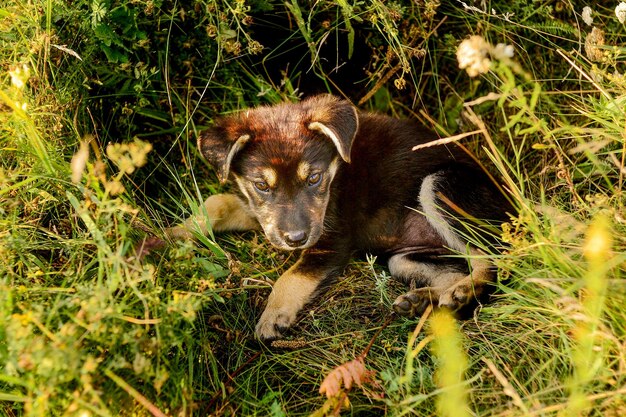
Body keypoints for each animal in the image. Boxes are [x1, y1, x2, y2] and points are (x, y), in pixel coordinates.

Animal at [166, 95, 512, 342]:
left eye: (314, 178)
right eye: (262, 185)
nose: (296, 239)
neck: (337, 170)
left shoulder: (331, 240)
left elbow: (291, 277)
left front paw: (272, 317)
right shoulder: (263, 215)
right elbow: (216, 203)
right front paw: (172, 235)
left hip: (442, 187)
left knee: (496, 261)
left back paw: (462, 293)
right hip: (405, 259)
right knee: (455, 272)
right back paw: (425, 300)